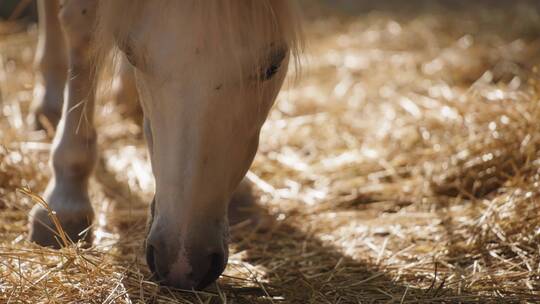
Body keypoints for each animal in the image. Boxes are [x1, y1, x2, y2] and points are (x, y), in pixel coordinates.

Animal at [27, 0, 302, 290]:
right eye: (130, 54)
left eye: (273, 66)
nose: (183, 264)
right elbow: (83, 33)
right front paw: (65, 202)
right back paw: (50, 104)